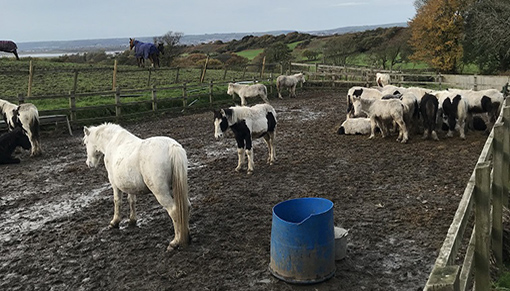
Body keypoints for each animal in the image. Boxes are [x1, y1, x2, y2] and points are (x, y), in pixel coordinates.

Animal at [83, 123, 191, 251]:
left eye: (85, 143)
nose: (89, 163)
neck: (112, 142)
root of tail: (172, 147)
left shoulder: (115, 185)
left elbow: (117, 201)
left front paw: (114, 222)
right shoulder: (130, 185)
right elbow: (131, 201)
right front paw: (132, 220)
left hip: (161, 192)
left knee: (174, 211)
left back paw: (175, 242)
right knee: (186, 207)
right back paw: (187, 236)